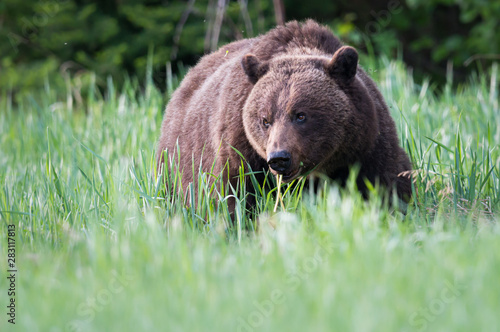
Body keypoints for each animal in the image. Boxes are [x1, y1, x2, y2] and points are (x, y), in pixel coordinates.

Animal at [158, 20, 412, 204]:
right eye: (265, 120)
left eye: (300, 115)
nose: (279, 158)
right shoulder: (241, 152)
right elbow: (233, 196)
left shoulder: (366, 146)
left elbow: (387, 185)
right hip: (172, 163)